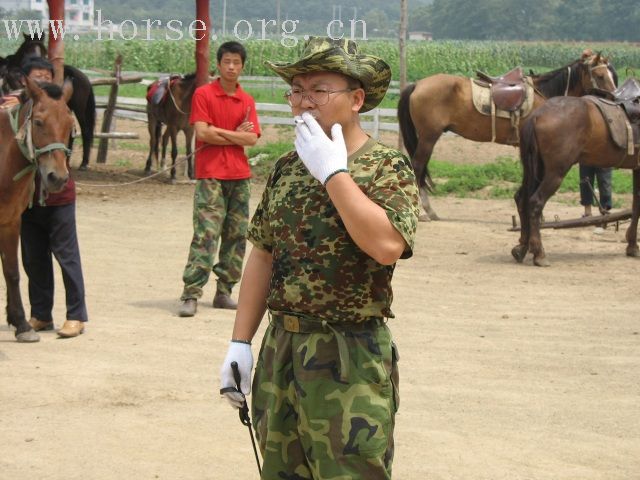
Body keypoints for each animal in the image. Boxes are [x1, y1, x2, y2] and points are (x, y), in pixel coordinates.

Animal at [0, 33, 96, 170]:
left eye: (44, 50)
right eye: (27, 49)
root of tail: (84, 77)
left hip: (80, 109)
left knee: (85, 131)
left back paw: (83, 163)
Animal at [0, 78, 74, 342]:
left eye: (70, 125)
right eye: (39, 122)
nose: (57, 177)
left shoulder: (10, 222)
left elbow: (11, 272)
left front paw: (21, 324)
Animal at [398, 51, 616, 220]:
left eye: (612, 75)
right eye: (600, 75)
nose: (614, 98)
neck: (543, 96)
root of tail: (417, 85)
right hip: (428, 137)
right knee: (417, 167)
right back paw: (425, 211)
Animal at [512, 90, 640, 266]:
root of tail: (537, 115)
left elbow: (636, 205)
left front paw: (632, 245)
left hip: (534, 169)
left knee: (522, 199)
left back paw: (522, 247)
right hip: (555, 173)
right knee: (535, 202)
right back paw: (539, 254)